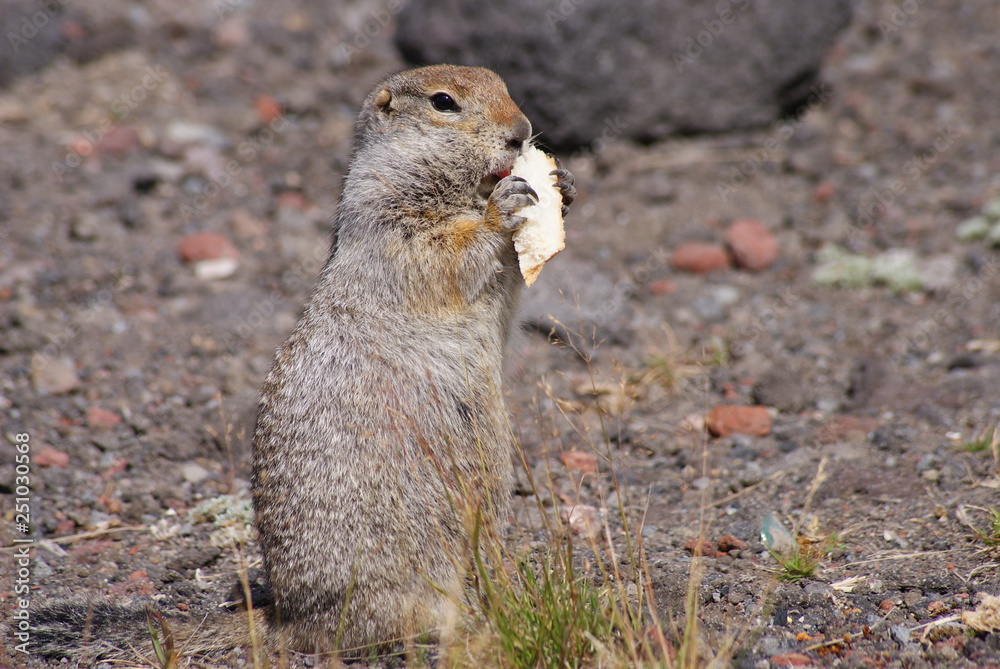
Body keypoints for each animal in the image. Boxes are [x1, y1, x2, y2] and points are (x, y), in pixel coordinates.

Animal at [32, 64, 574, 662]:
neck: (459, 191)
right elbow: (444, 253)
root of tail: (289, 618)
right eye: (443, 103)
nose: (521, 133)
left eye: (501, 83)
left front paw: (564, 185)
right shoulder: (388, 220)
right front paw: (505, 207)